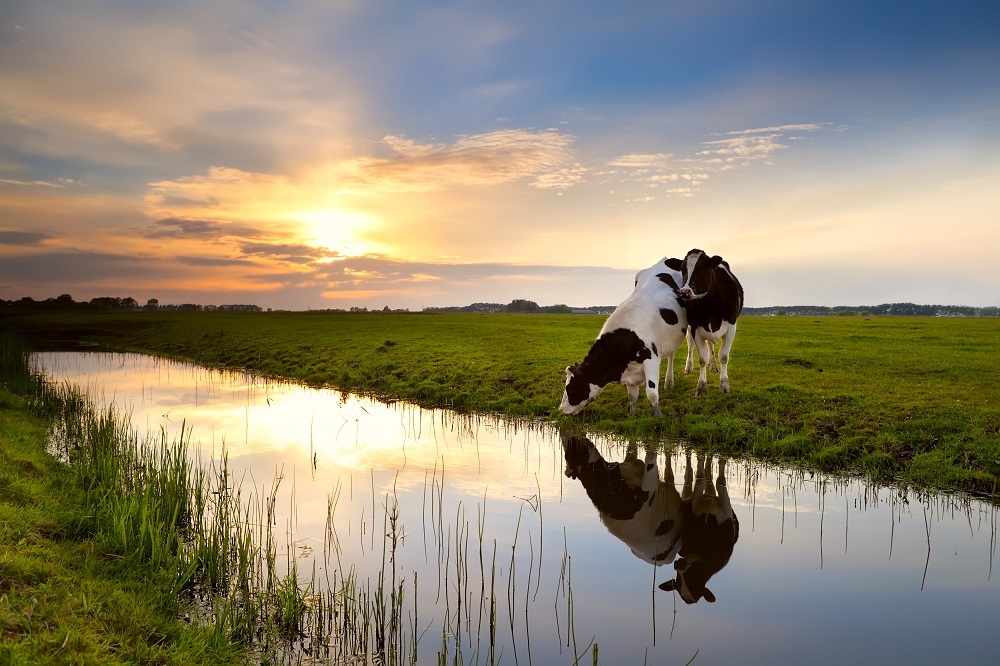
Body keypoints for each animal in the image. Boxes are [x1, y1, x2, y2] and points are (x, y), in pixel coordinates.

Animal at [560, 255, 692, 416]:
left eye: (571, 388)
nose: (561, 409)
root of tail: (665, 259)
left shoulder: (651, 359)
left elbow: (651, 392)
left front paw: (658, 414)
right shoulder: (629, 372)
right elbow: (632, 395)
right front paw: (632, 413)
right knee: (671, 353)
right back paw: (669, 382)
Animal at [660, 452, 740, 600]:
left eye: (694, 578)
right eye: (678, 580)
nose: (678, 565)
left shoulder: (726, 513)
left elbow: (719, 481)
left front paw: (720, 461)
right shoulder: (691, 505)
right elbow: (700, 477)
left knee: (707, 479)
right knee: (689, 474)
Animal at [664, 249, 744, 394]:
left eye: (701, 269)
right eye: (682, 270)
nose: (684, 292)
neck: (710, 306)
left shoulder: (731, 327)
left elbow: (724, 356)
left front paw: (724, 384)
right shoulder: (696, 327)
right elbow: (701, 359)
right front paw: (701, 385)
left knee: (710, 345)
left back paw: (713, 365)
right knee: (691, 345)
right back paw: (689, 367)